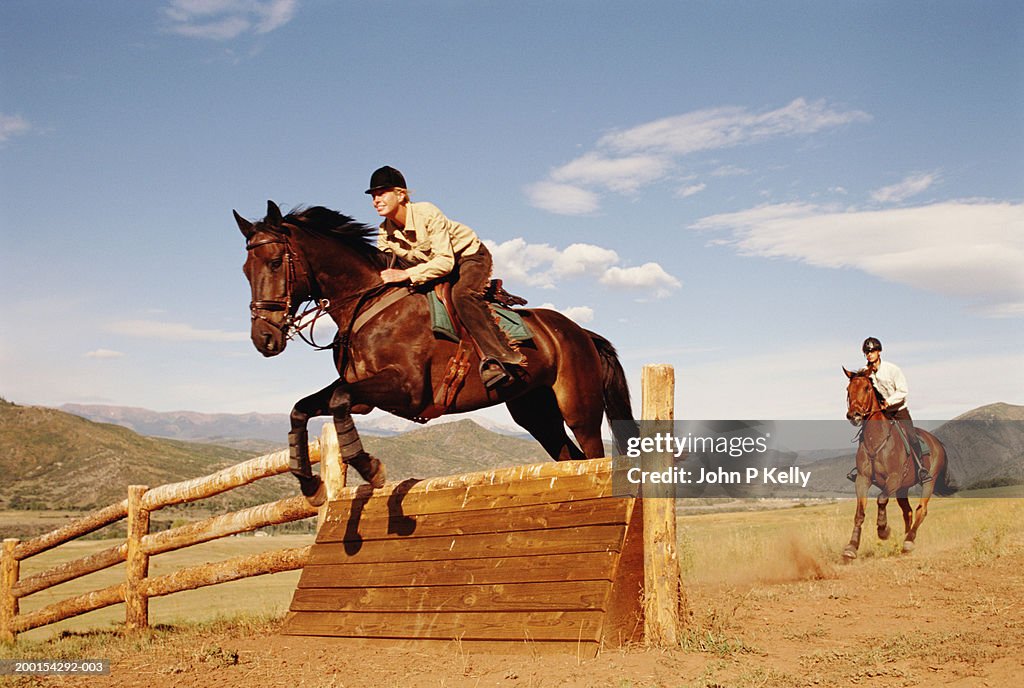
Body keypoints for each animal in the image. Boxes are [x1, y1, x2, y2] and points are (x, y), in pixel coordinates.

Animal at [236, 201, 634, 501]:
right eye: (245, 270)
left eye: (275, 262)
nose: (264, 339)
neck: (367, 302)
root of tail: (580, 332)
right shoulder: (363, 396)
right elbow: (301, 409)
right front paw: (309, 483)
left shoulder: (406, 389)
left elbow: (337, 401)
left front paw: (370, 468)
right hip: (535, 413)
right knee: (568, 458)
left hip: (578, 409)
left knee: (592, 454)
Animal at [839, 364, 950, 556]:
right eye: (848, 389)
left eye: (867, 388)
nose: (855, 415)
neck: (876, 440)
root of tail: (937, 442)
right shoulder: (862, 479)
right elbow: (859, 512)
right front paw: (851, 547)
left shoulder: (894, 478)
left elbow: (881, 499)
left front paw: (883, 530)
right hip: (903, 489)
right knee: (908, 512)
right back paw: (905, 540)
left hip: (928, 482)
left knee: (921, 510)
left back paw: (909, 541)